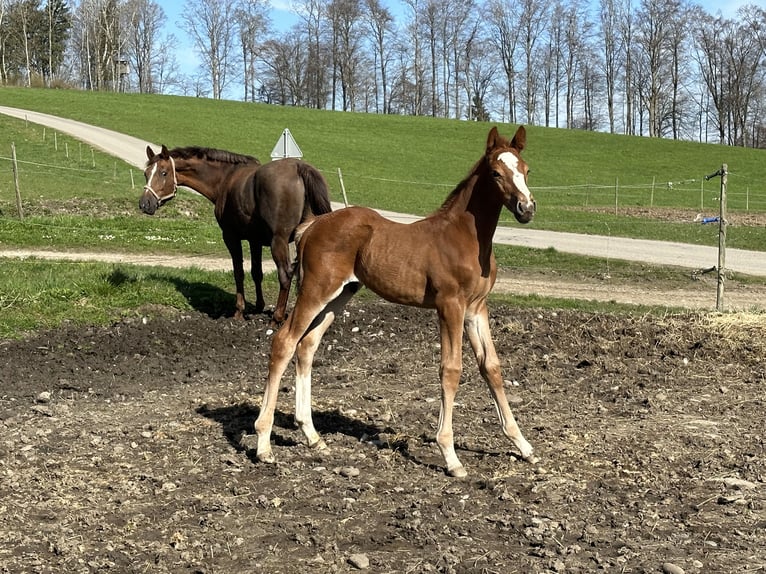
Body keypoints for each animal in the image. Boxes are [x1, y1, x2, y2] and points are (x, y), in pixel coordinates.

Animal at [139, 145, 332, 323]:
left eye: (163, 173)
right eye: (146, 173)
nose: (144, 204)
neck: (225, 178)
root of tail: (298, 168)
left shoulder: (231, 237)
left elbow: (238, 272)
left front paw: (239, 311)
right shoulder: (255, 241)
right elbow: (256, 273)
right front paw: (259, 306)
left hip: (279, 241)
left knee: (285, 275)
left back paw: (277, 317)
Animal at [253, 125, 537, 478]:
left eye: (527, 170)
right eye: (497, 173)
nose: (527, 208)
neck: (468, 238)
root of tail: (313, 225)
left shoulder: (476, 308)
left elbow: (492, 367)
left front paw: (523, 445)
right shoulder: (450, 306)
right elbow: (451, 369)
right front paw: (451, 456)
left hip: (339, 296)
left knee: (307, 346)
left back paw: (312, 436)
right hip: (315, 291)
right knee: (284, 341)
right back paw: (263, 445)